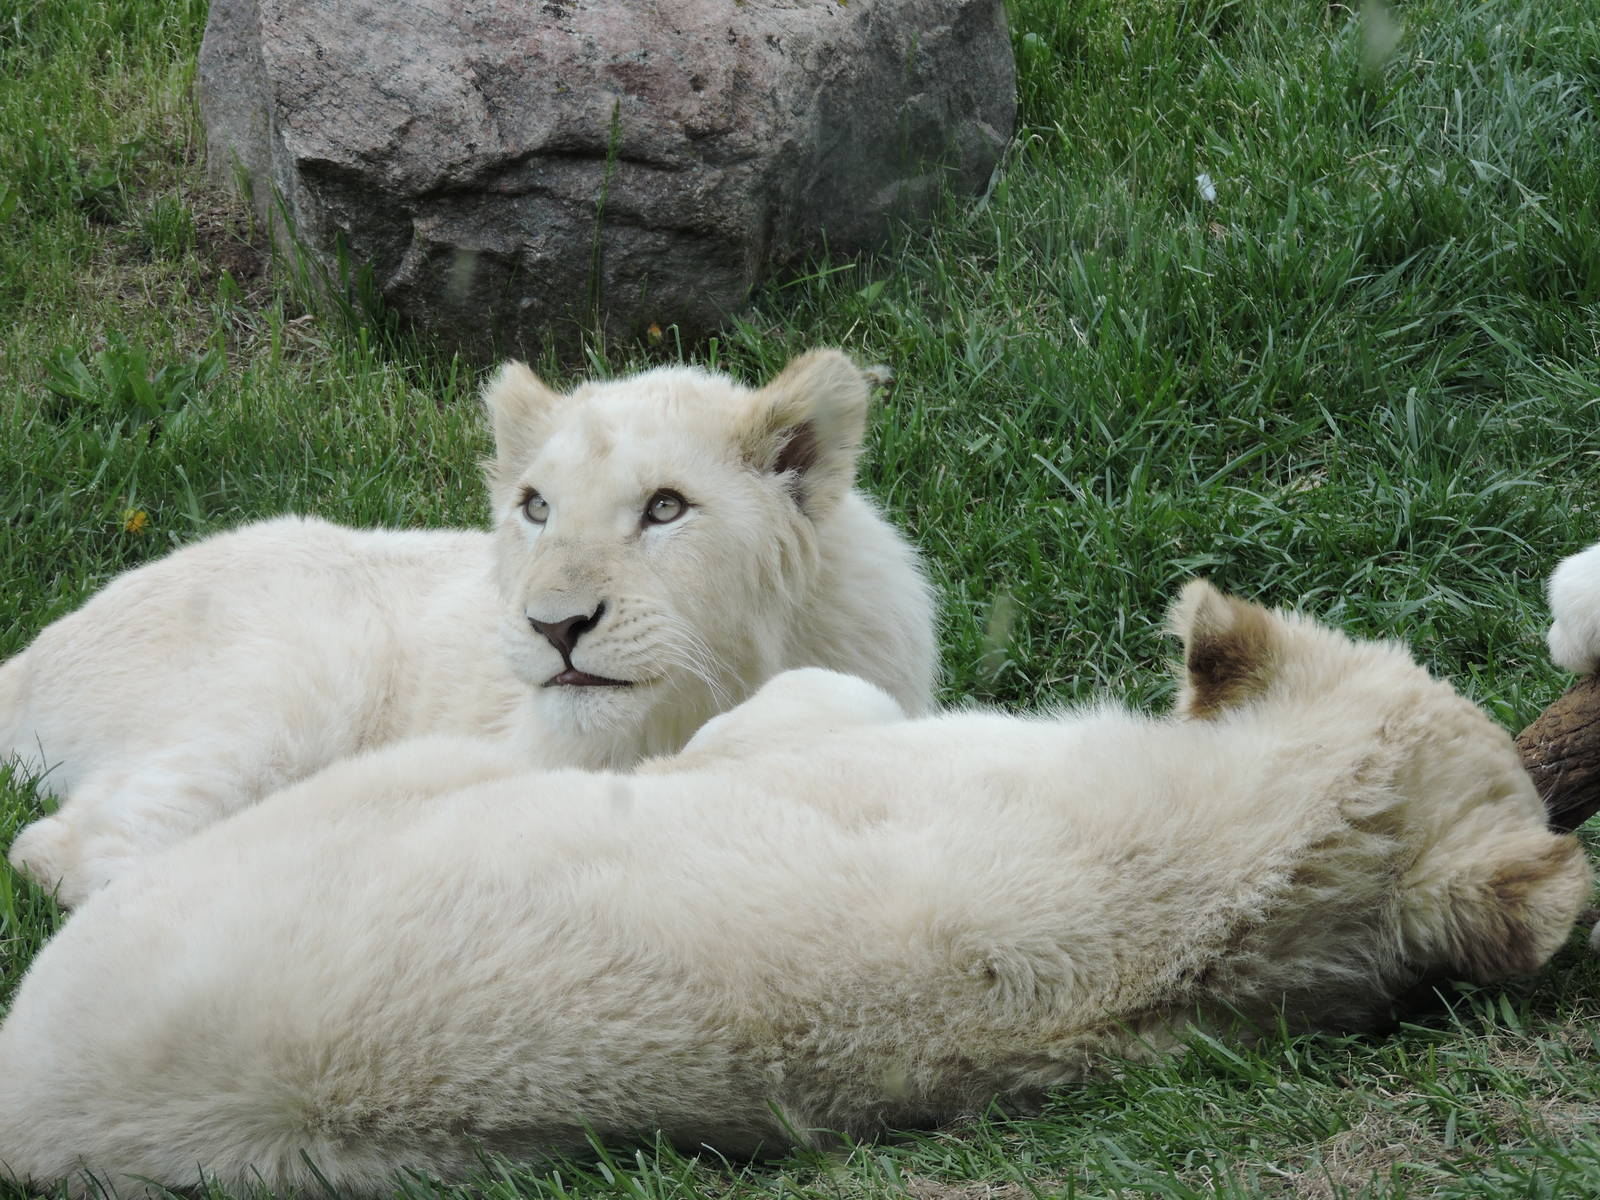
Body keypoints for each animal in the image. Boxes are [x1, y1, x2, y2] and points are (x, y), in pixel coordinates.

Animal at [0, 349, 937, 906]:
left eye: (666, 507)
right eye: (537, 507)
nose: (556, 627)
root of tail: (30, 656)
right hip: (304, 672)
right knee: (62, 848)